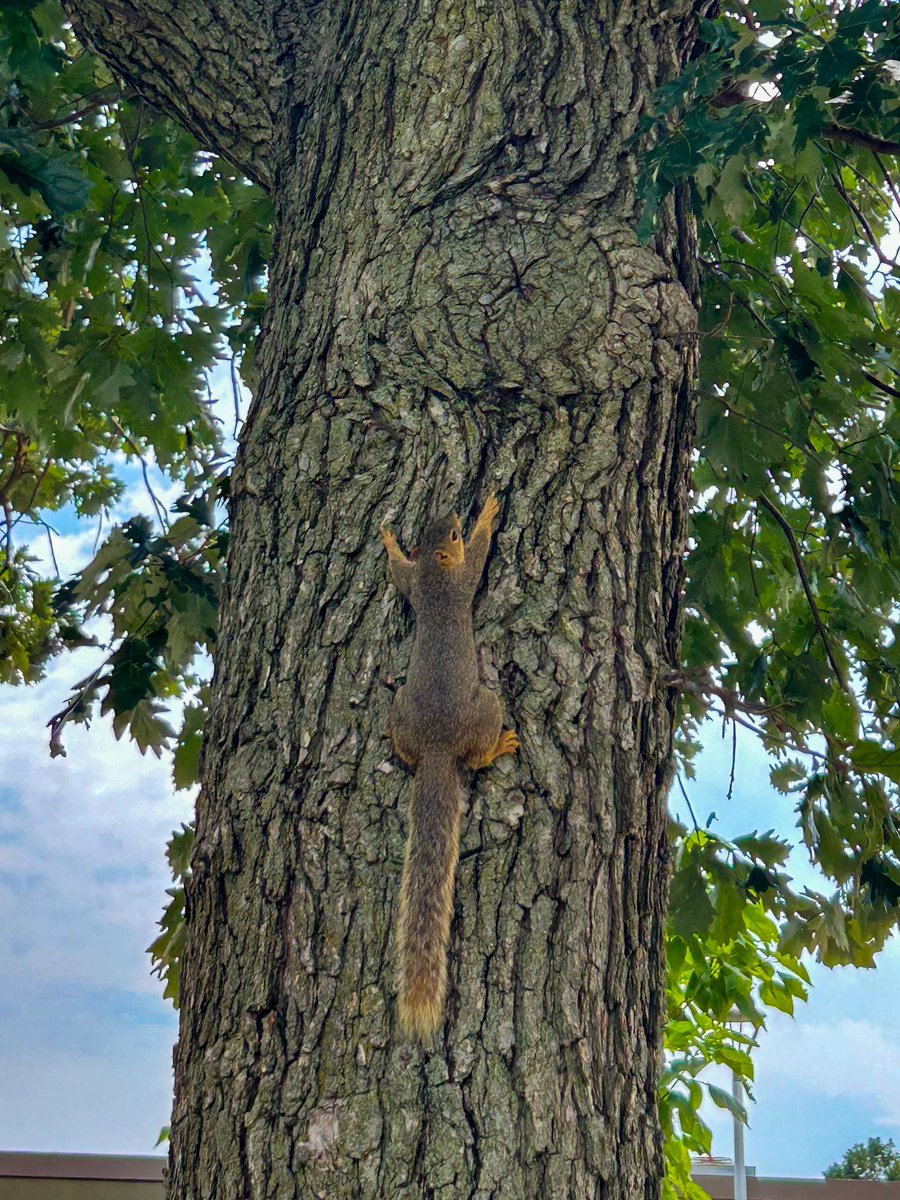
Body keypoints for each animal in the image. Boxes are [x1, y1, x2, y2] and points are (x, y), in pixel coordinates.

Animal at [380, 491, 519, 1041]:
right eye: (453, 535)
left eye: (438, 527)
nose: (457, 514)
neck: (436, 576)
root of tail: (438, 748)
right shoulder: (461, 581)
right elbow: (479, 559)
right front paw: (489, 513)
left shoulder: (415, 584)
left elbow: (398, 573)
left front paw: (389, 540)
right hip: (487, 706)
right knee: (477, 754)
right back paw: (501, 745)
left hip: (402, 711)